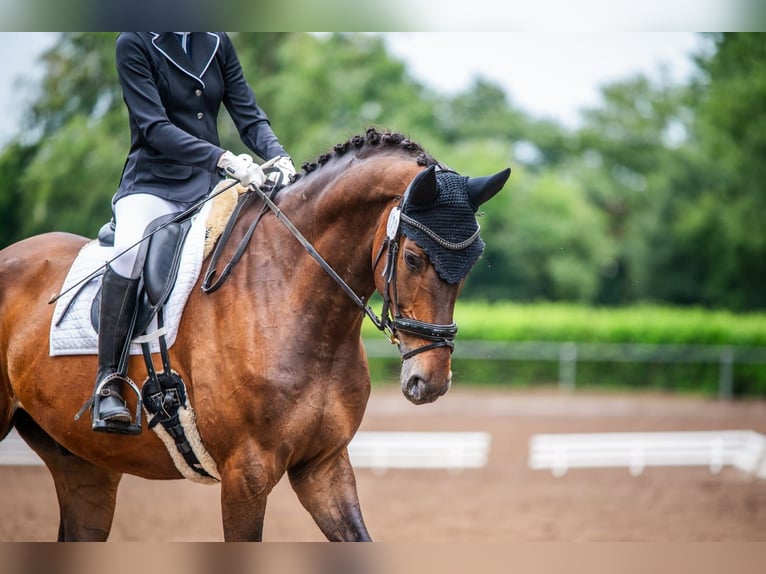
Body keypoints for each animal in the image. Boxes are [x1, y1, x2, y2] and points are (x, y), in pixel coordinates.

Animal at [0, 128, 510, 544]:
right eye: (413, 258)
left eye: (473, 262)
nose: (431, 382)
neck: (288, 297)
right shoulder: (245, 474)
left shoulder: (324, 465)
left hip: (83, 465)